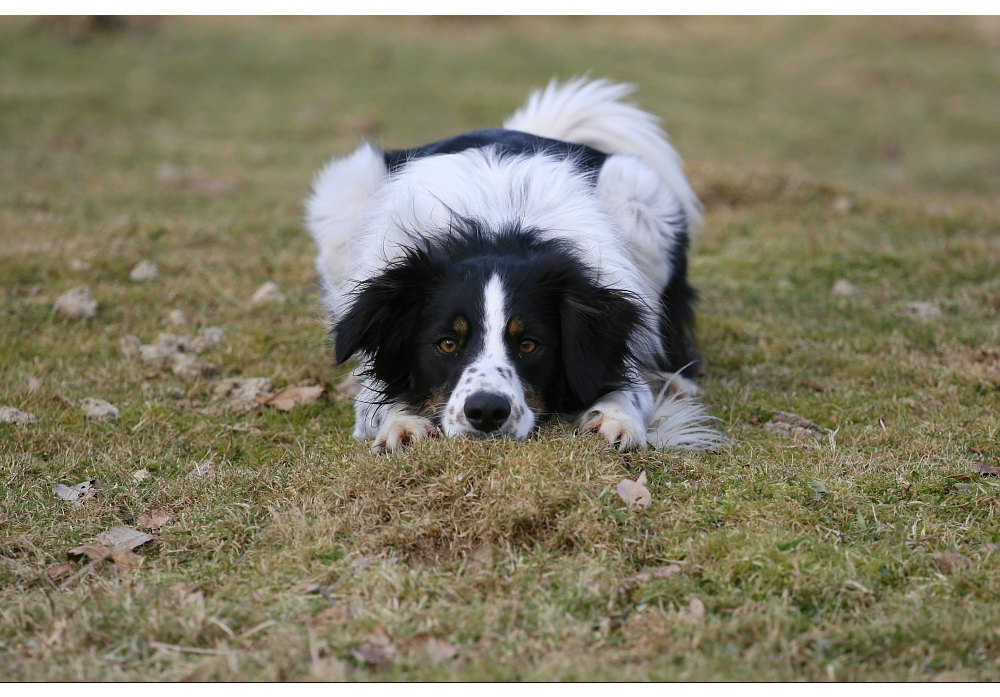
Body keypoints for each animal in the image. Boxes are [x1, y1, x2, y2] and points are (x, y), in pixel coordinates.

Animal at [300, 77, 724, 452]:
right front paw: (401, 422)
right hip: (347, 187)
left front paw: (615, 418)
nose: (487, 412)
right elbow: (378, 397)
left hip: (637, 190)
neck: (493, 232)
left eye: (529, 344)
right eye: (447, 343)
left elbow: (628, 385)